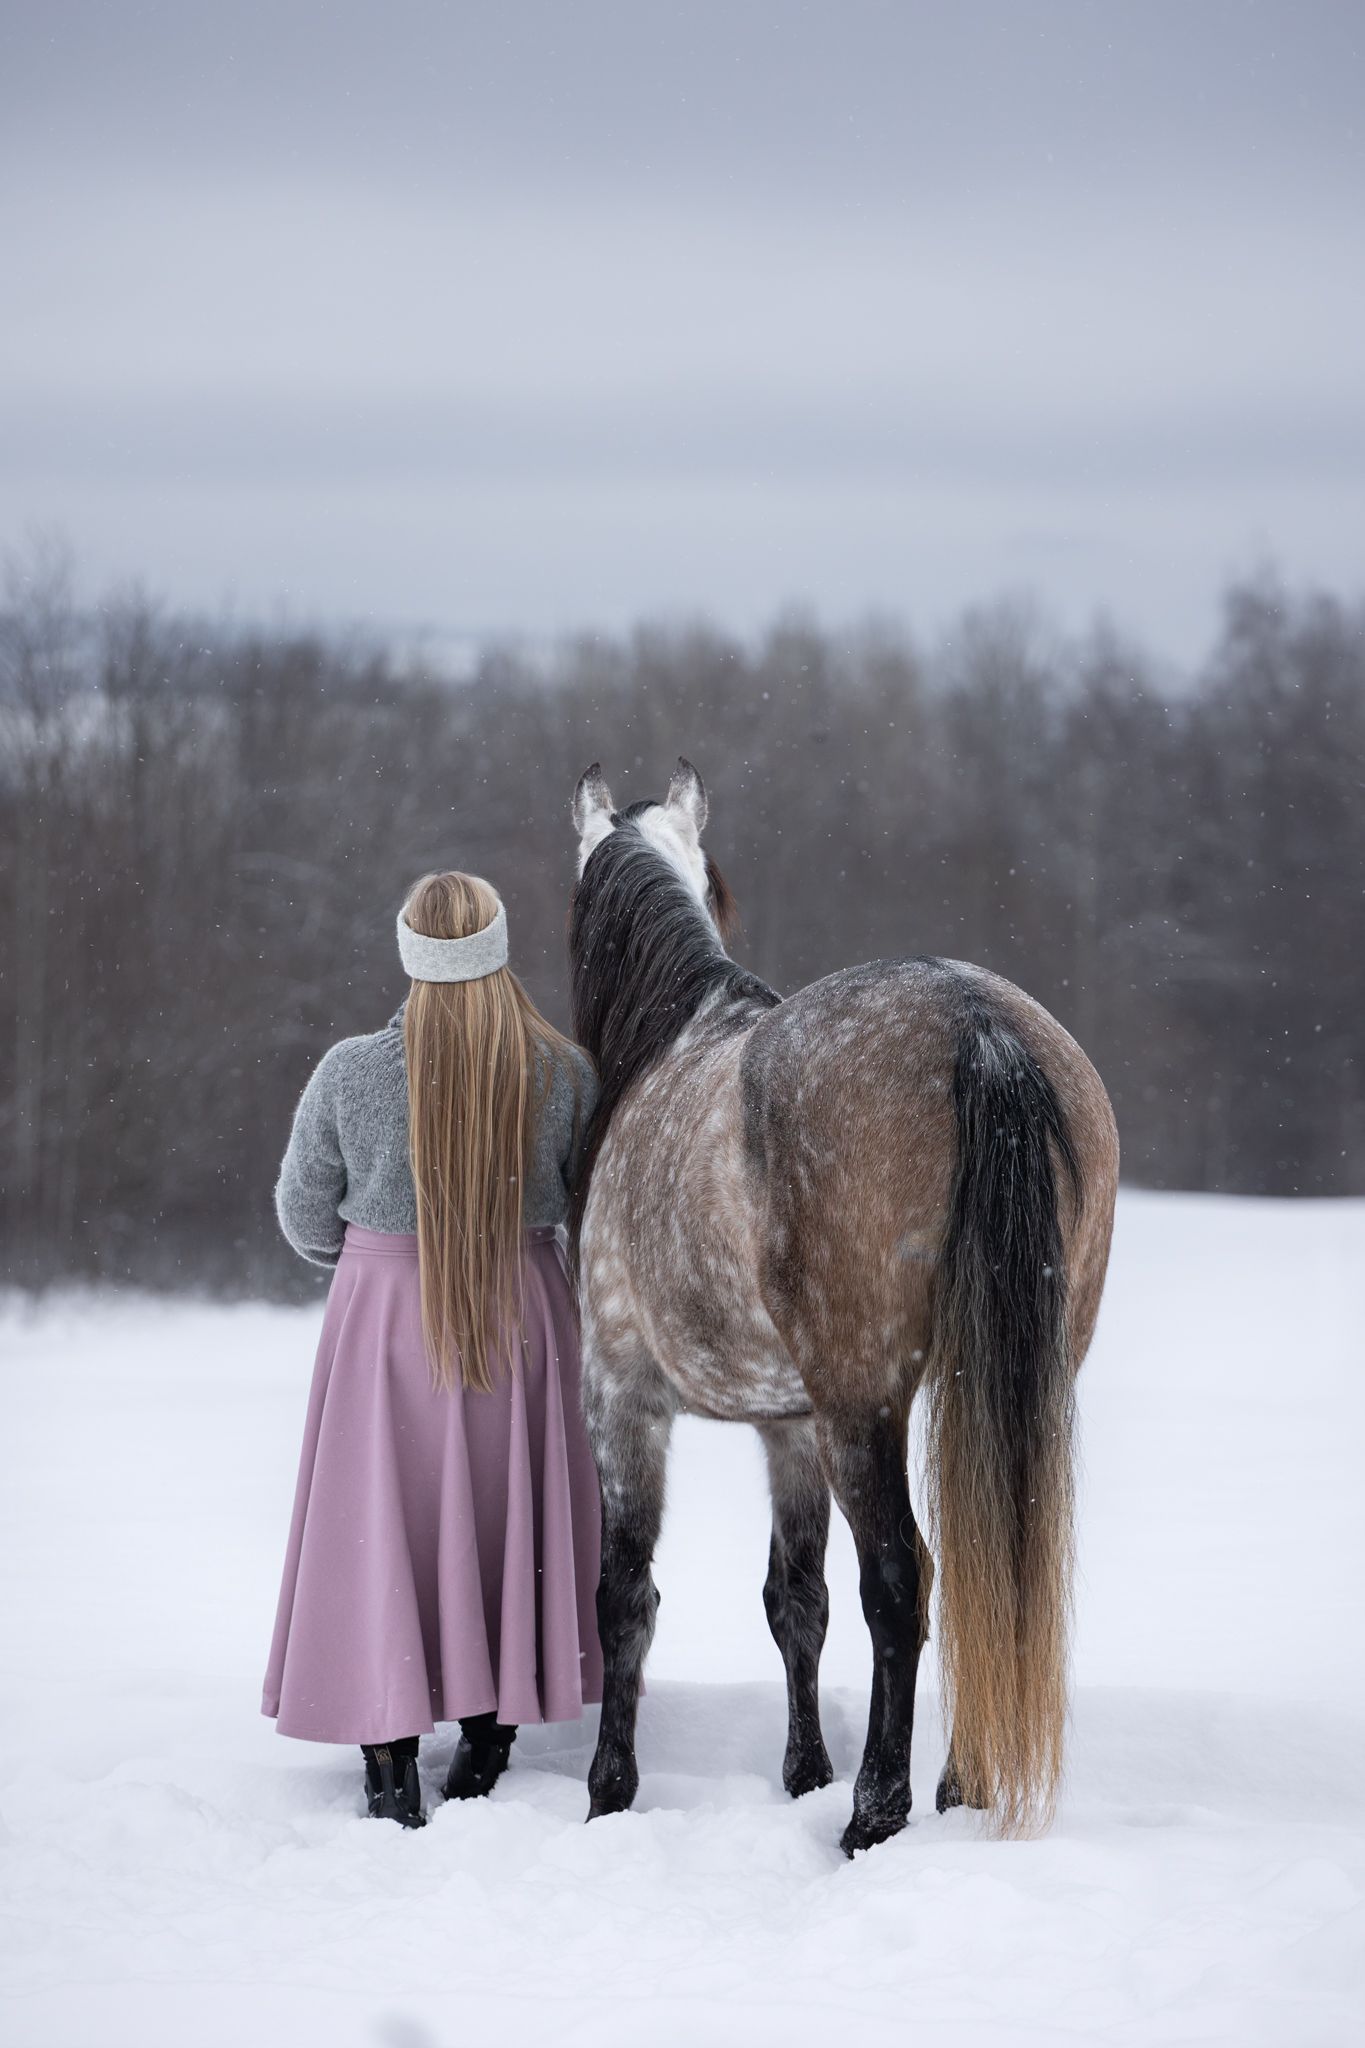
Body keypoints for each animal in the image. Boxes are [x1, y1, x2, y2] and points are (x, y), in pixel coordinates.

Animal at [568, 757, 1119, 1852]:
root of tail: (975, 1021)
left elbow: (625, 1596)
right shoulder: (787, 1426)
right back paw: (958, 1788)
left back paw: (877, 1810)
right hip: (999, 1384)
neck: (669, 1046)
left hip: (861, 1404)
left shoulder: (624, 1396)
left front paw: (610, 1790)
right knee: (981, 1571)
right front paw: (802, 1771)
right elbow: (796, 1599)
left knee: (903, 1581)